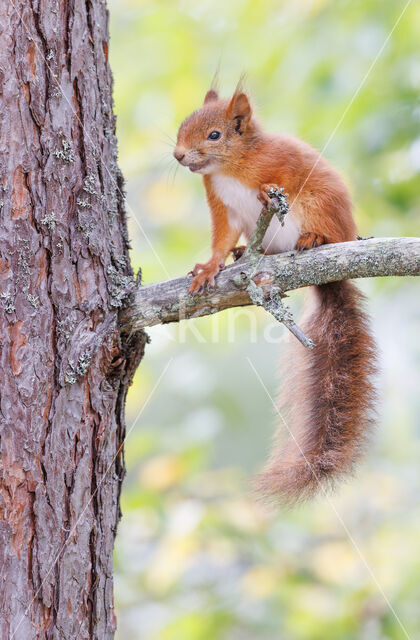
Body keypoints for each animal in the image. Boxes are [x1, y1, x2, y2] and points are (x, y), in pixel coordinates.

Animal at [172, 86, 376, 504]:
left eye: (214, 135)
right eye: (183, 127)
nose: (179, 155)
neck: (228, 168)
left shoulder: (282, 161)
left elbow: (284, 174)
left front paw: (267, 192)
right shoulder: (221, 207)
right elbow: (220, 240)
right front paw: (209, 267)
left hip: (319, 205)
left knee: (325, 228)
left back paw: (316, 239)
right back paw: (245, 254)